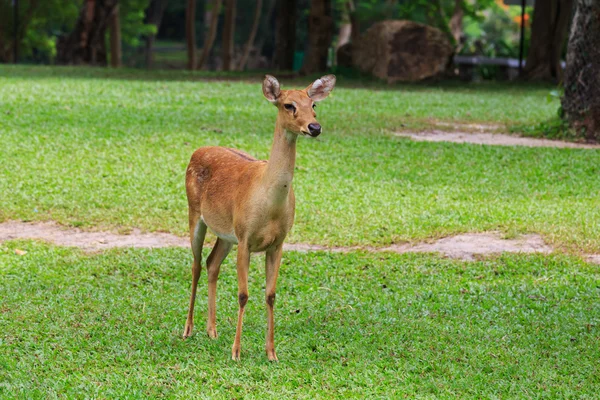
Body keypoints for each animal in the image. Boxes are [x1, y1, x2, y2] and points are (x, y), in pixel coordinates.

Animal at [180, 73, 336, 360]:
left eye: (314, 105)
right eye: (288, 105)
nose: (314, 127)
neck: (269, 203)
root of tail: (197, 150)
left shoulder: (278, 243)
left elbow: (271, 294)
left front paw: (271, 352)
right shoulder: (245, 238)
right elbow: (243, 294)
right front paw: (236, 351)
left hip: (226, 234)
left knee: (211, 263)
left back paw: (212, 330)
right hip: (195, 213)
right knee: (195, 265)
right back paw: (188, 329)